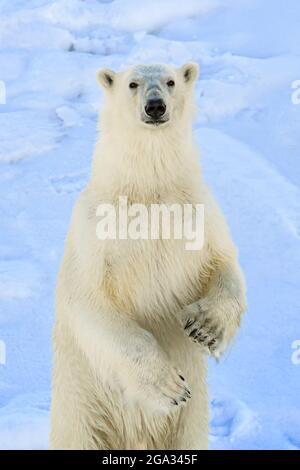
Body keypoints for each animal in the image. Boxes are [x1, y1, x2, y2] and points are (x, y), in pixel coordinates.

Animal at [49, 62, 246, 448]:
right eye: (133, 84)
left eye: (170, 81)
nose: (155, 106)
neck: (147, 190)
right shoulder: (95, 231)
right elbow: (88, 300)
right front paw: (171, 386)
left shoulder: (197, 212)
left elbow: (225, 262)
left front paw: (205, 328)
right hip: (81, 409)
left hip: (193, 422)